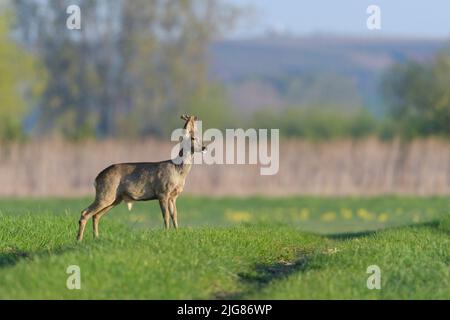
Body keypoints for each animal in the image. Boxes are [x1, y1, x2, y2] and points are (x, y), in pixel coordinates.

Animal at [76, 114, 207, 241]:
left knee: (95, 215)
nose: (204, 147)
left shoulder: (173, 196)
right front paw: (166, 233)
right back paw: (79, 239)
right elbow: (165, 216)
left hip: (115, 198)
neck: (178, 171)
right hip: (106, 193)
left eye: (200, 137)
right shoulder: (162, 192)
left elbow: (174, 215)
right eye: (193, 138)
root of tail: (97, 178)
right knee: (85, 213)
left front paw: (176, 232)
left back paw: (96, 237)